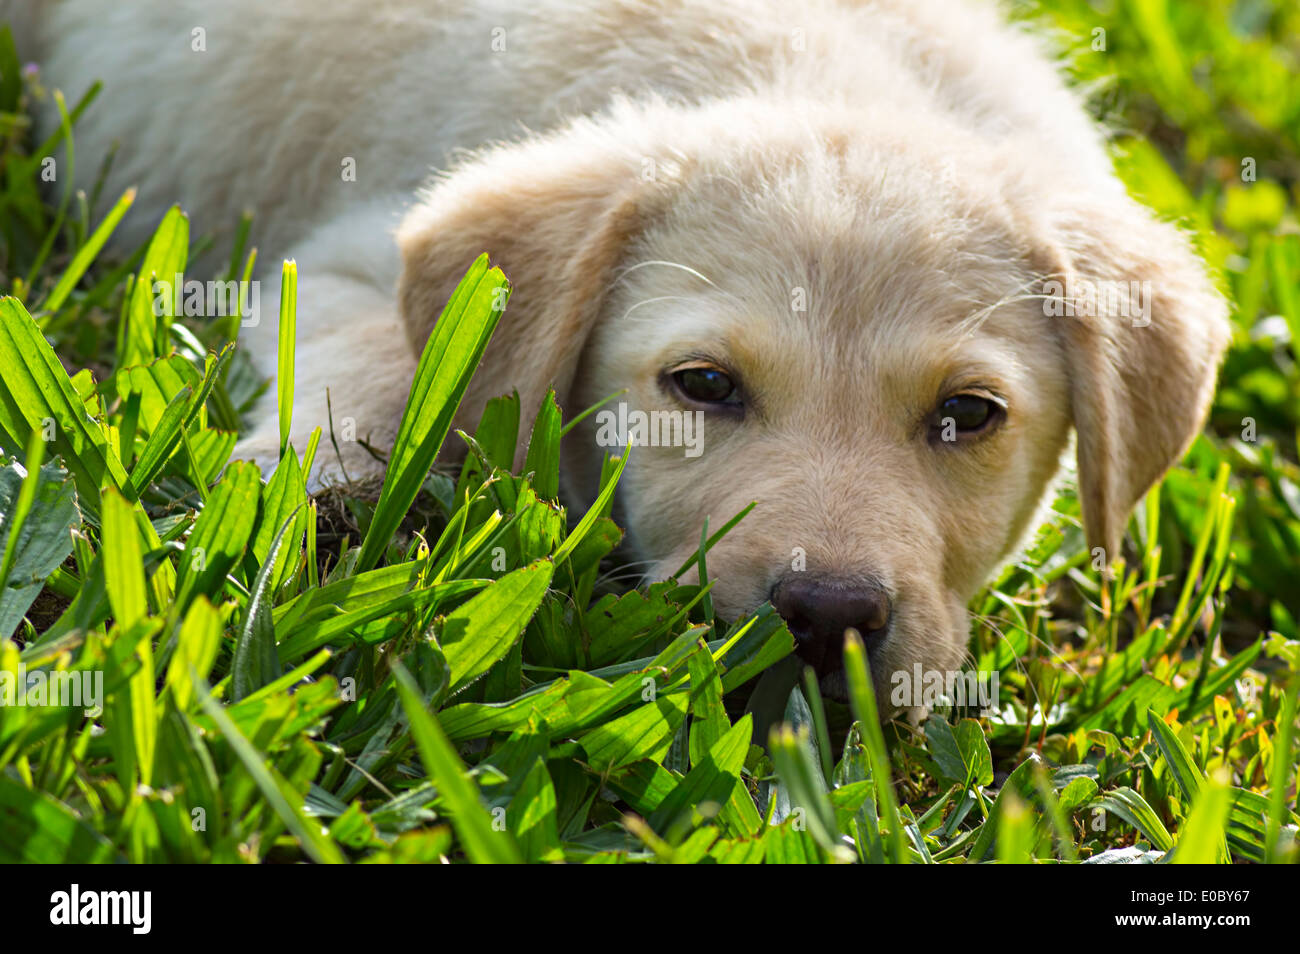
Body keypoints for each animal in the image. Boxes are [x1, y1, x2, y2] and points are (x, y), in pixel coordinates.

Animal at [20, 1, 1227, 701]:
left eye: (968, 415)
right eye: (703, 387)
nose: (827, 617)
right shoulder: (340, 261)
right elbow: (380, 364)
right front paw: (318, 497)